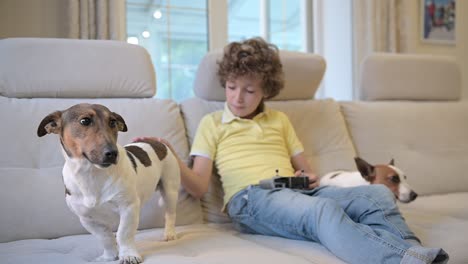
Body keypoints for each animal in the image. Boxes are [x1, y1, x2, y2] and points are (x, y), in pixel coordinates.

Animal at [37, 103, 181, 264]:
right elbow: (105, 238)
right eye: (84, 121)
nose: (113, 153)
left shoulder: (128, 208)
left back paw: (169, 233)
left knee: (170, 214)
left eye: (112, 122)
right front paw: (109, 256)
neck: (91, 173)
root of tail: (157, 142)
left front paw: (128, 255)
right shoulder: (87, 219)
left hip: (170, 191)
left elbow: (124, 233)